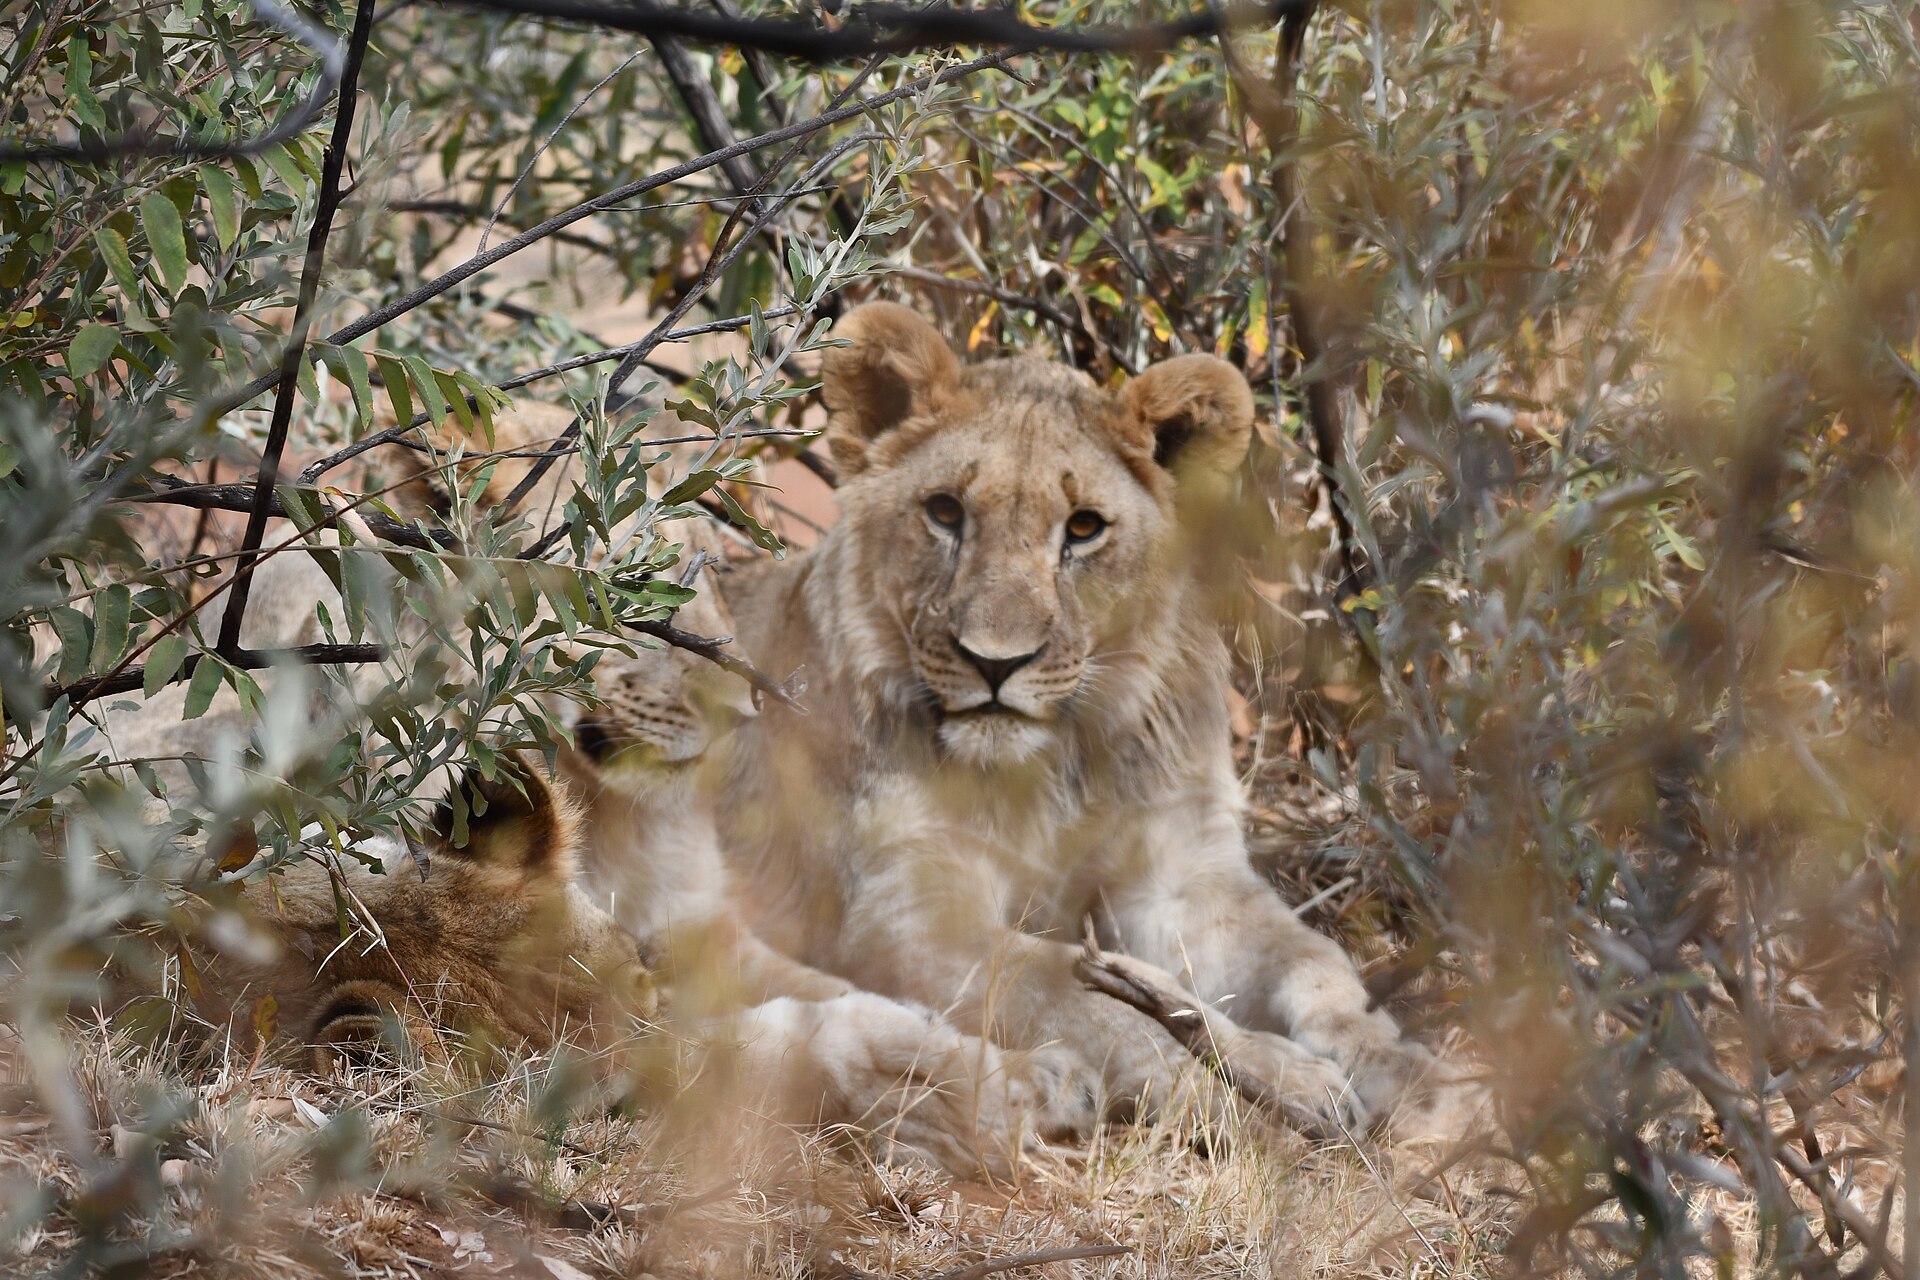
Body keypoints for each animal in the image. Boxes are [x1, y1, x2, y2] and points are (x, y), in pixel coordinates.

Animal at [714, 302, 1444, 1132]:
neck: (1056, 765)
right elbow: (1079, 995)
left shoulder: (1185, 875)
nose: (995, 663)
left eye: (1086, 528)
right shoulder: (903, 914)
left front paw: (1398, 1066)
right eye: (944, 512)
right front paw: (1254, 1090)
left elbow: (1314, 960)